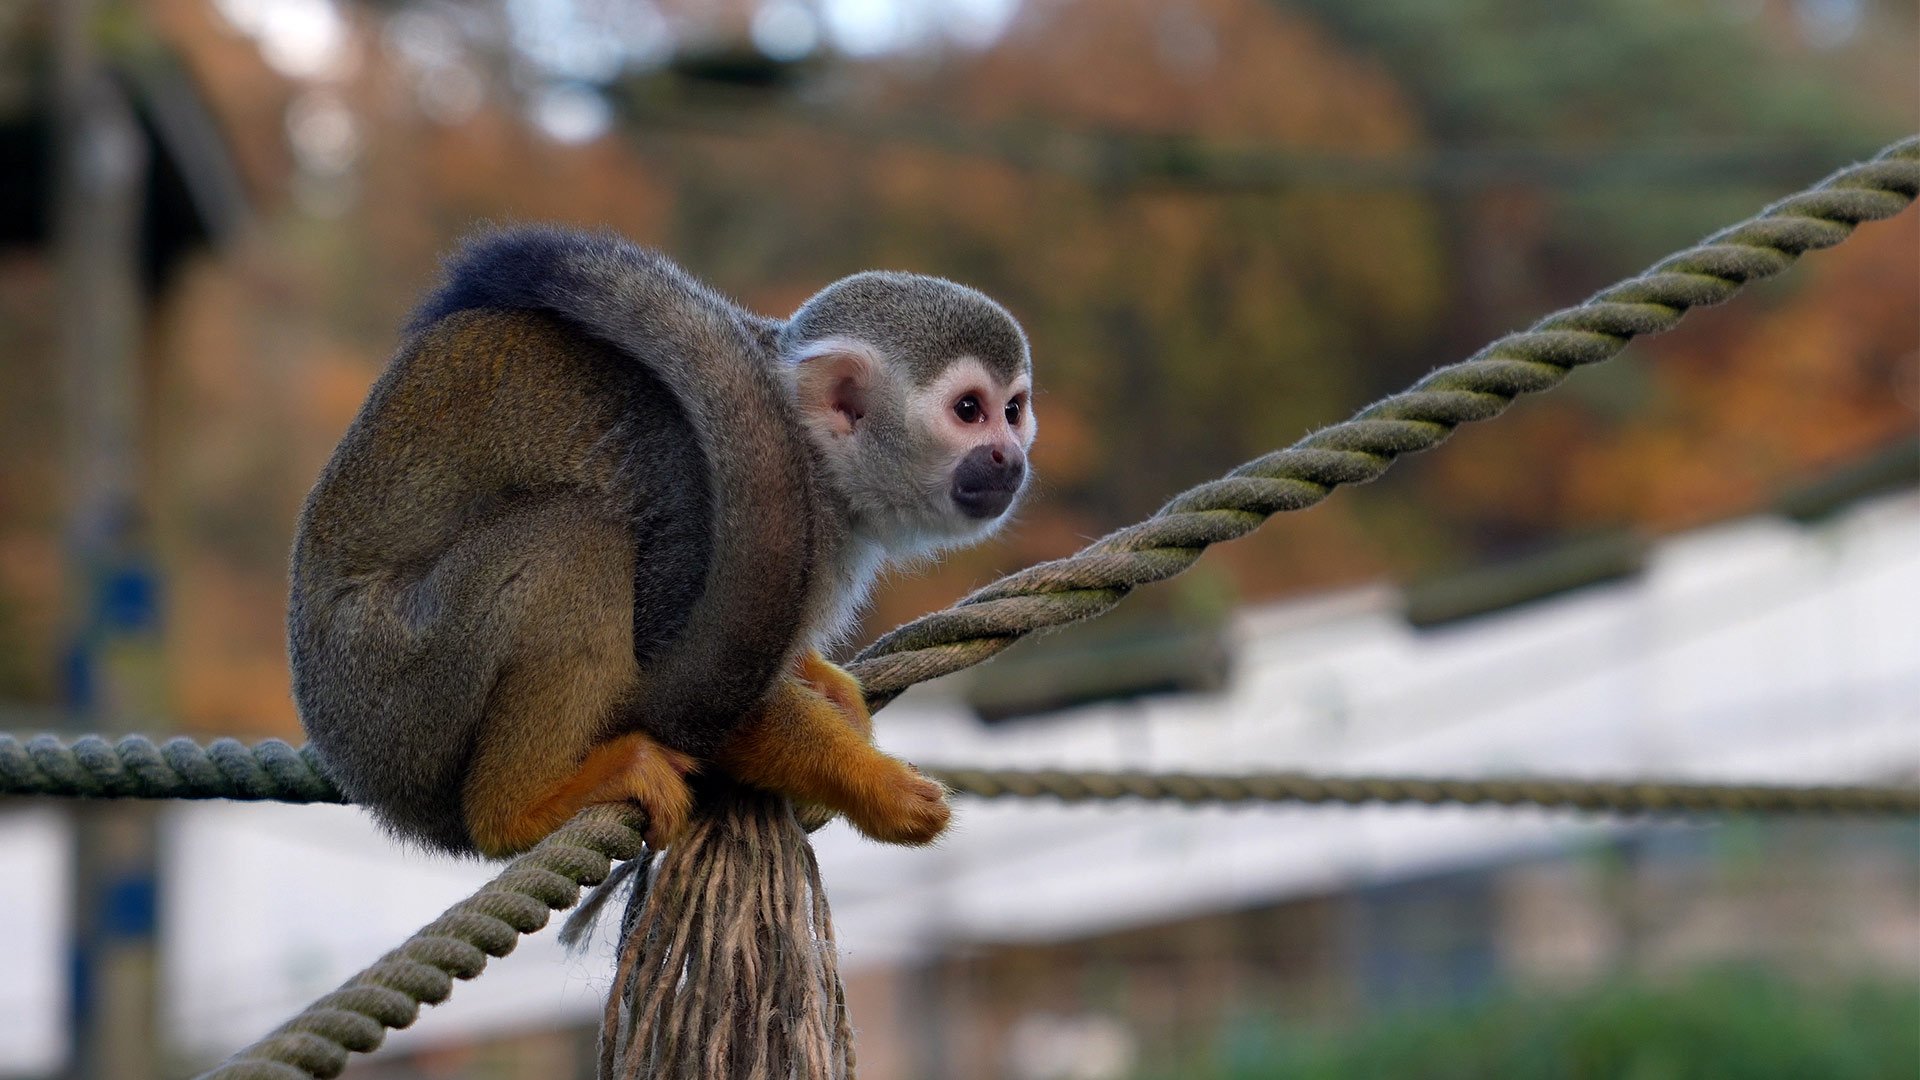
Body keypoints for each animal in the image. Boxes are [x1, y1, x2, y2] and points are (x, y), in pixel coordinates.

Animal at [288, 226, 1034, 859]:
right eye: (969, 411)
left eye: (1013, 410)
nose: (1010, 457)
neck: (815, 465)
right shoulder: (699, 504)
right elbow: (681, 688)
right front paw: (874, 785)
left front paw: (827, 686)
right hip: (396, 687)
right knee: (573, 540)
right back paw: (518, 808)